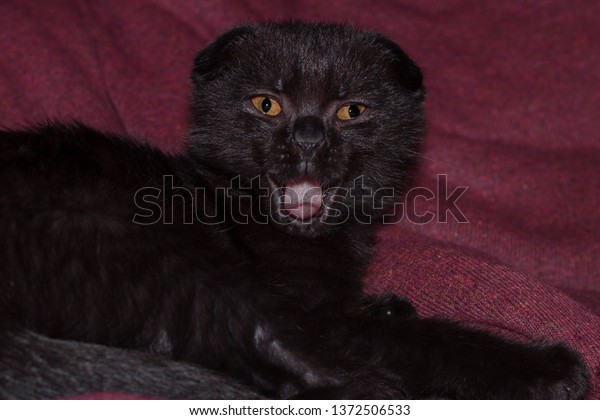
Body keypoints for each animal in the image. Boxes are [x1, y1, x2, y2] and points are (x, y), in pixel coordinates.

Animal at [0, 23, 588, 400]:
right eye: (267, 104)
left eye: (351, 110)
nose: (307, 138)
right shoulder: (313, 314)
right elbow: (421, 339)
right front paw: (547, 369)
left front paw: (388, 304)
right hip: (141, 244)